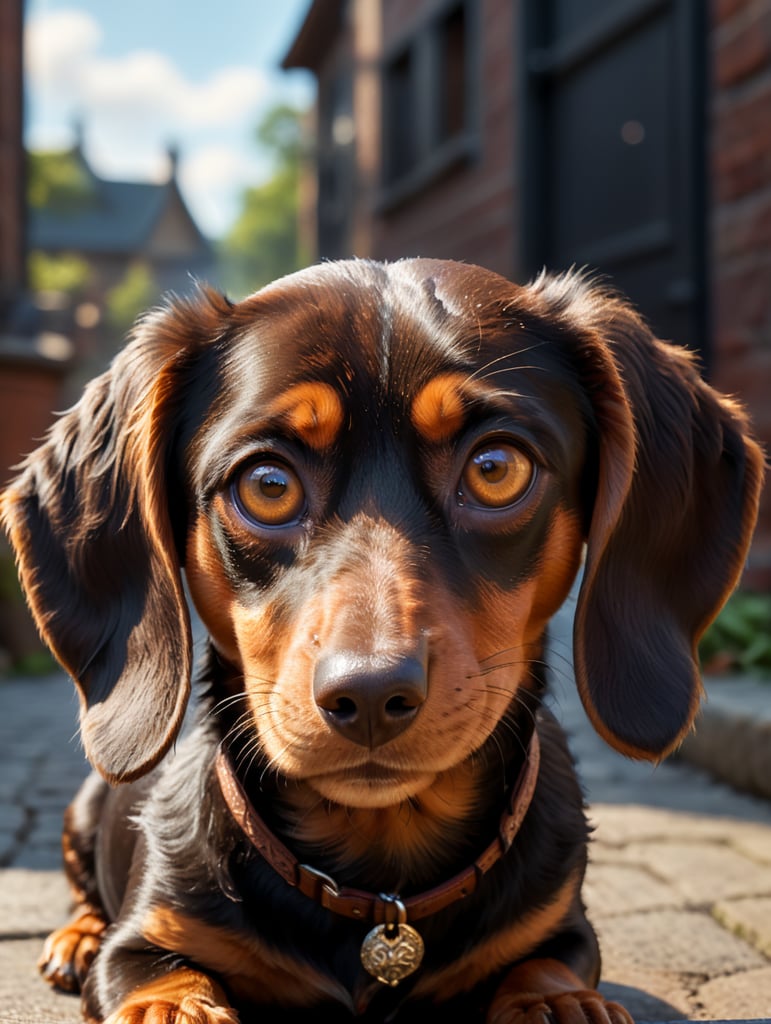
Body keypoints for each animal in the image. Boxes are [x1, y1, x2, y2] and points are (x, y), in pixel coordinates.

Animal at [1, 262, 765, 1024]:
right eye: (268, 484)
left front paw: (558, 1004)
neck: (379, 889)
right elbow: (159, 977)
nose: (368, 694)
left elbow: (546, 964)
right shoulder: (142, 942)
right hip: (84, 809)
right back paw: (73, 939)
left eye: (495, 469)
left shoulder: (564, 929)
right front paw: (174, 1006)